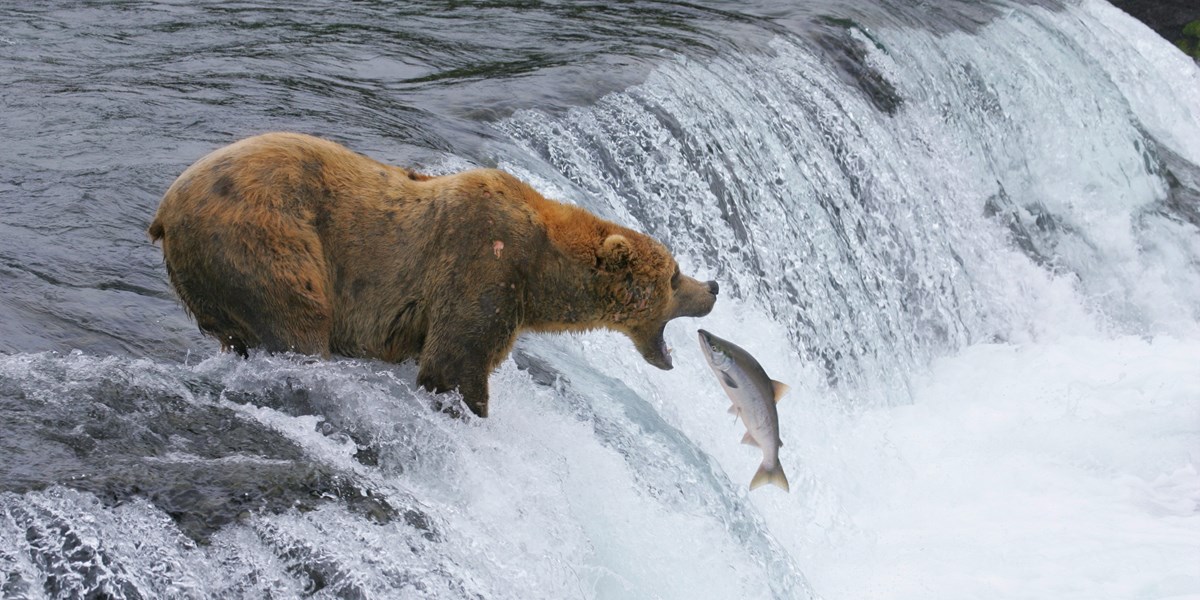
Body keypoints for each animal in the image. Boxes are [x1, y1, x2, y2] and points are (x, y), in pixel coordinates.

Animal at [146, 132, 715, 417]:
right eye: (673, 276)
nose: (711, 287)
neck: (542, 273)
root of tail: (165, 210)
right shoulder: (482, 263)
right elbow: (455, 364)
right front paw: (469, 408)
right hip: (263, 238)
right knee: (297, 321)